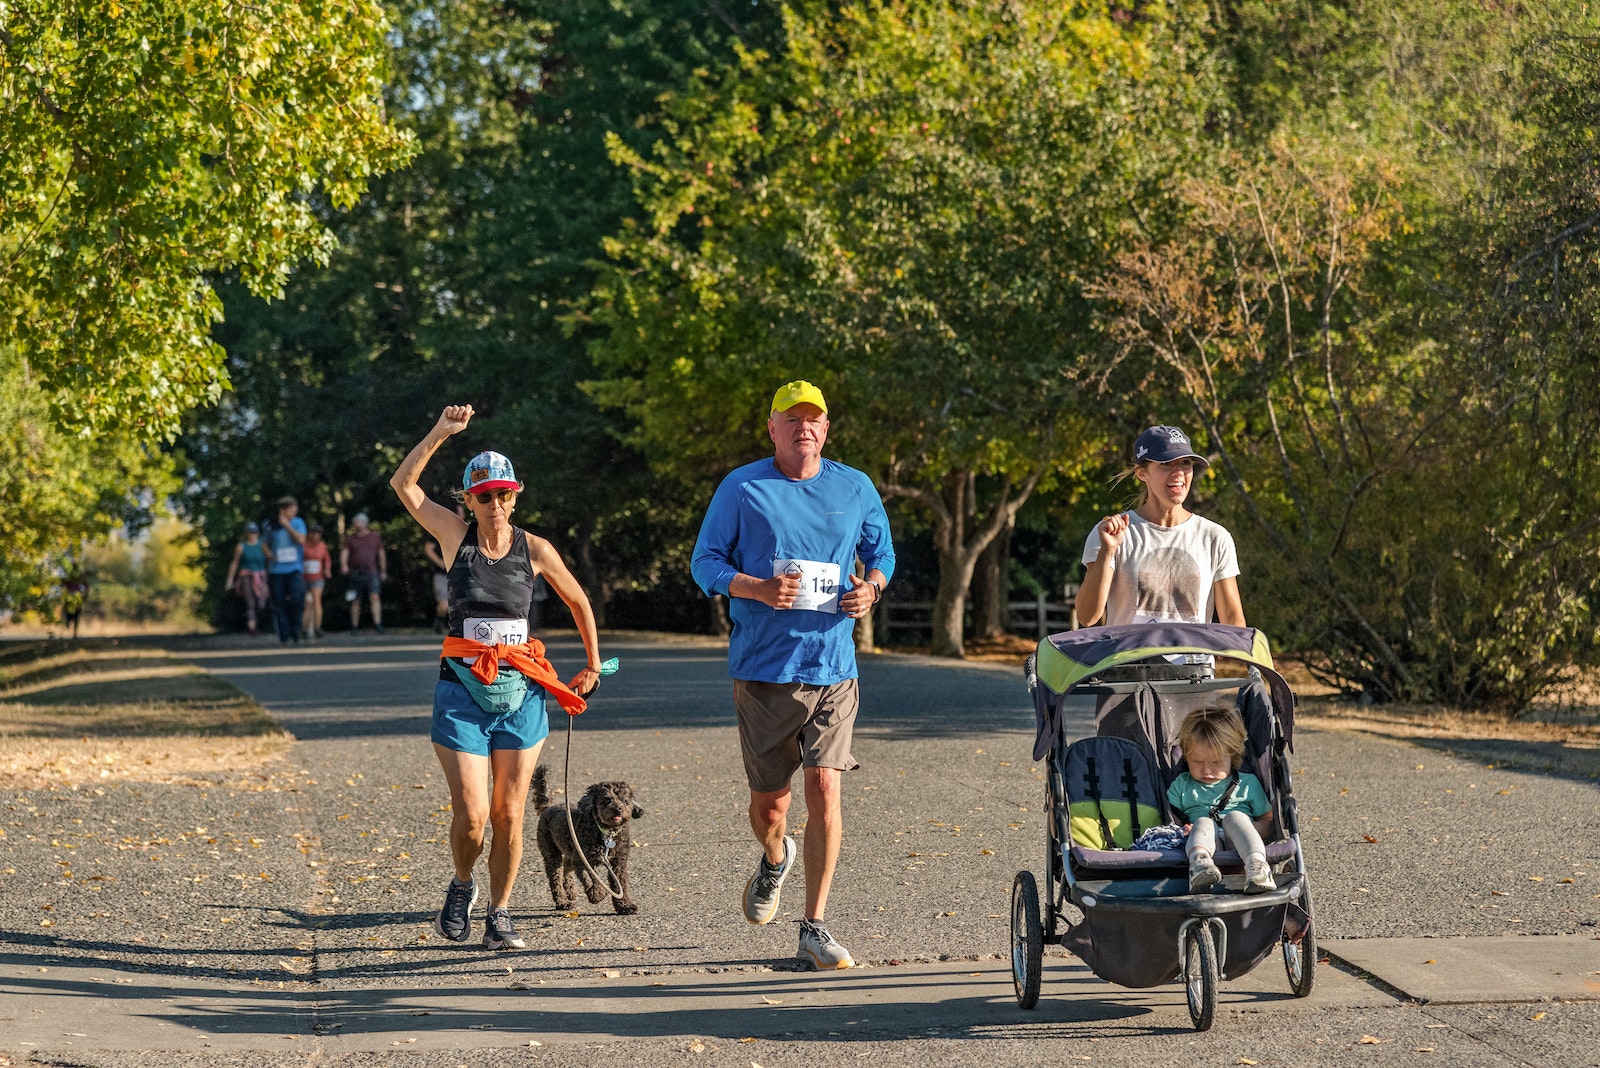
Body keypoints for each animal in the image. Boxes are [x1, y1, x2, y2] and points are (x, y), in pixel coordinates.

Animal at [534, 764, 640, 914]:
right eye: (607, 800)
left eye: (625, 801)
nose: (618, 810)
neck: (606, 832)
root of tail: (547, 808)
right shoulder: (583, 860)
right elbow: (591, 878)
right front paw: (597, 895)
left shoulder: (619, 862)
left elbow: (621, 884)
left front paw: (625, 906)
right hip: (551, 853)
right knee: (555, 878)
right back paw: (563, 902)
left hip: (570, 851)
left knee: (567, 866)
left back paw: (570, 892)